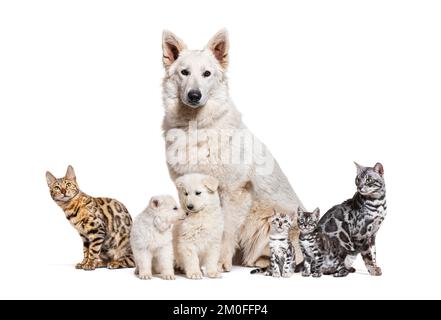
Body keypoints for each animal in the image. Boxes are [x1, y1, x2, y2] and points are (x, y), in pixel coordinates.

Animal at [161, 29, 302, 270]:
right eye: (184, 72)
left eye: (207, 73)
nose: (194, 95)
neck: (195, 127)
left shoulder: (234, 191)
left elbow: (225, 230)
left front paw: (218, 262)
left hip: (267, 221)